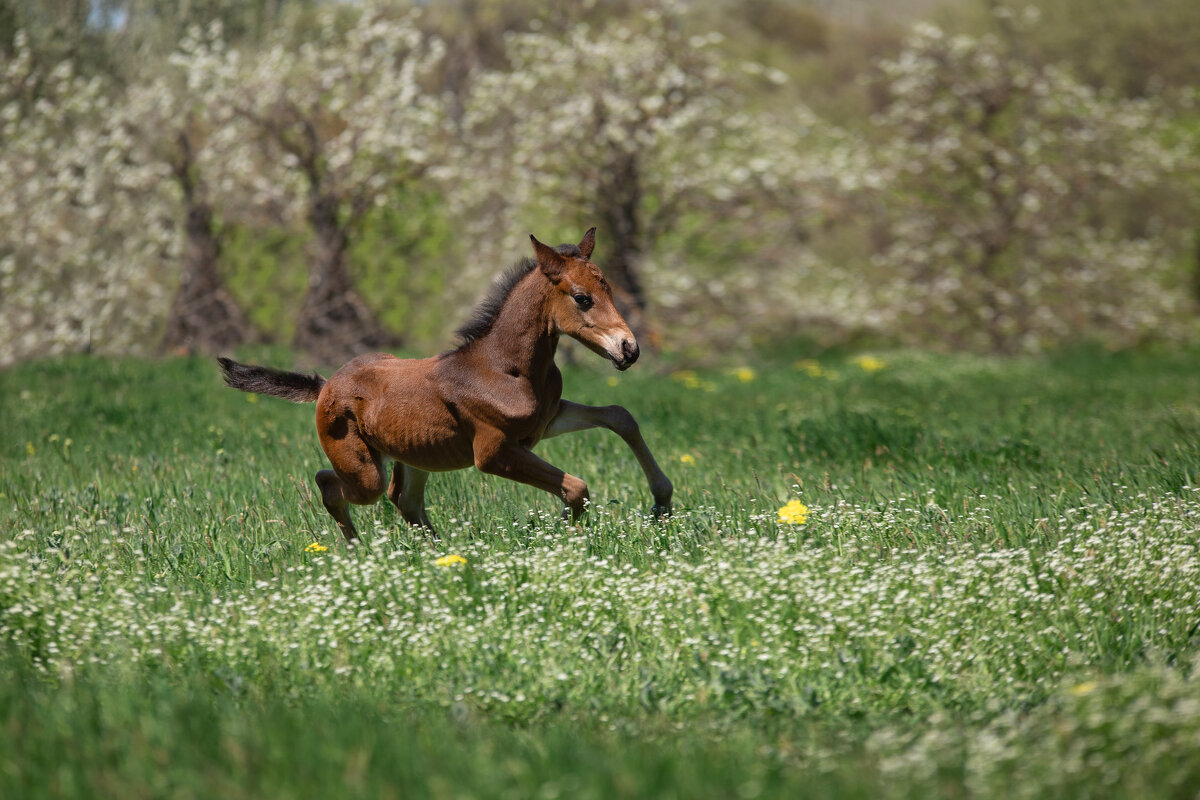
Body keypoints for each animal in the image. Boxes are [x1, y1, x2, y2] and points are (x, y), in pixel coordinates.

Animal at [220, 230, 672, 544]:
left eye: (608, 288)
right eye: (582, 298)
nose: (629, 349)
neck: (505, 368)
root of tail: (327, 384)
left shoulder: (544, 423)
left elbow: (619, 417)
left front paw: (663, 503)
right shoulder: (492, 453)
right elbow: (576, 487)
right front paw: (565, 533)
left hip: (418, 455)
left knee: (404, 500)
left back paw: (441, 553)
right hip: (364, 471)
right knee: (331, 484)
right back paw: (358, 553)